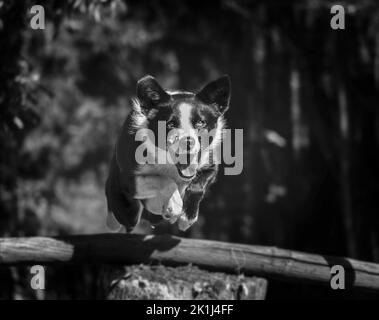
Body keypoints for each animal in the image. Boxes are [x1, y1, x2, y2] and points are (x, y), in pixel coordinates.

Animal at [106, 74, 232, 231]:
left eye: (200, 123)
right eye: (170, 124)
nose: (187, 142)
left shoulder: (210, 166)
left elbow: (197, 187)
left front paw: (187, 218)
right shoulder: (127, 180)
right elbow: (163, 180)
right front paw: (175, 207)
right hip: (126, 211)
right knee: (118, 220)